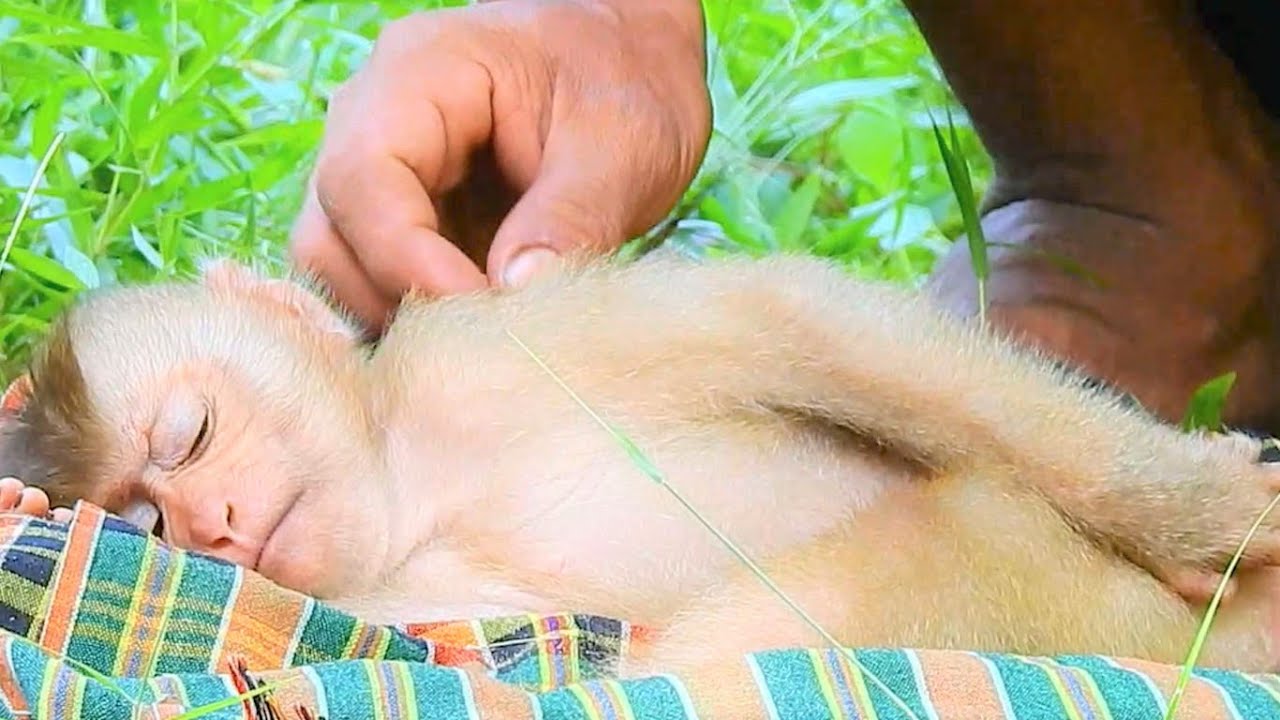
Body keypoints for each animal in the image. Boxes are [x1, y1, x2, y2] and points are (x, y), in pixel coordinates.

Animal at [2, 250, 1280, 688]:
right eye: (148, 521)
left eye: (190, 436)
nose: (213, 522)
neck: (416, 485)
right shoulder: (392, 595)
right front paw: (20, 498)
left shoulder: (508, 339)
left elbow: (802, 327)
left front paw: (1211, 511)